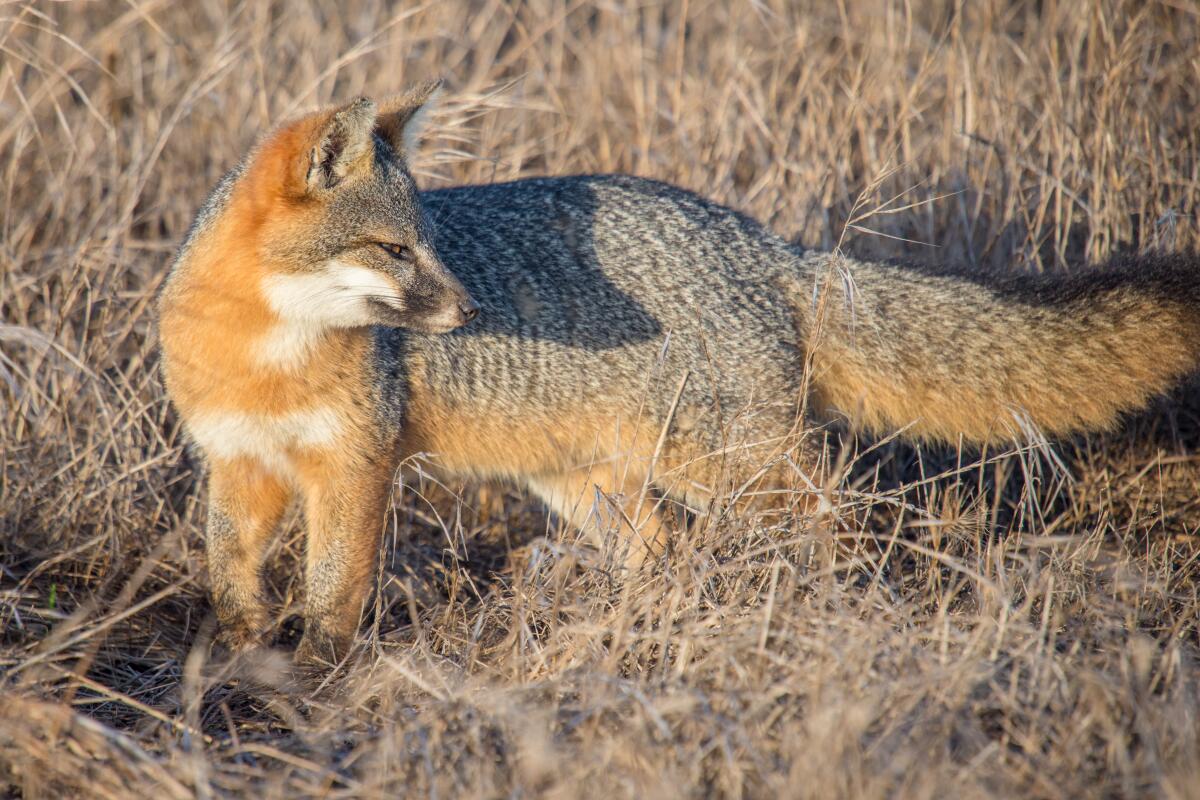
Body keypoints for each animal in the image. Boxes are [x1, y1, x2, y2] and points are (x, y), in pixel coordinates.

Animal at [159, 81, 1200, 671]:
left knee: (840, 509)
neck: (263, 357)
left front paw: (319, 674)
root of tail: (765, 245)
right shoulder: (240, 465)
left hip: (734, 468)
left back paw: (835, 613)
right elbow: (232, 574)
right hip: (592, 487)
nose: (467, 310)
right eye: (393, 249)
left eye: (431, 243)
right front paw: (243, 658)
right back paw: (633, 636)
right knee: (663, 555)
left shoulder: (354, 465)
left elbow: (335, 584)